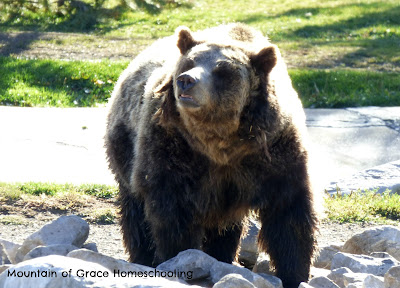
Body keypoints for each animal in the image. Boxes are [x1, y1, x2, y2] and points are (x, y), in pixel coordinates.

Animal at [104, 23, 318, 286]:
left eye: (222, 71)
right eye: (189, 62)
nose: (186, 81)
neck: (222, 142)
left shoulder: (273, 153)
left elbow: (289, 215)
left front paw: (295, 273)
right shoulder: (174, 149)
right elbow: (173, 215)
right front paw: (178, 257)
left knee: (226, 228)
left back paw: (223, 256)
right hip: (125, 150)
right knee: (136, 213)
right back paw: (143, 257)